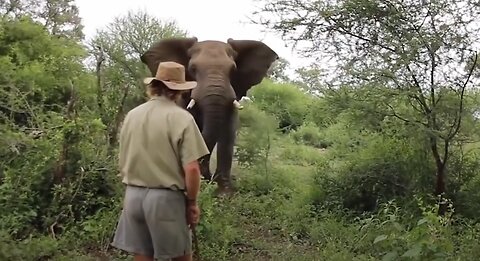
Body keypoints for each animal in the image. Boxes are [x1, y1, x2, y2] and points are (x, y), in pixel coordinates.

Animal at [140, 36, 278, 195]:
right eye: (193, 69)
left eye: (233, 70)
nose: (206, 176)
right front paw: (203, 183)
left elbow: (228, 134)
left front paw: (224, 193)